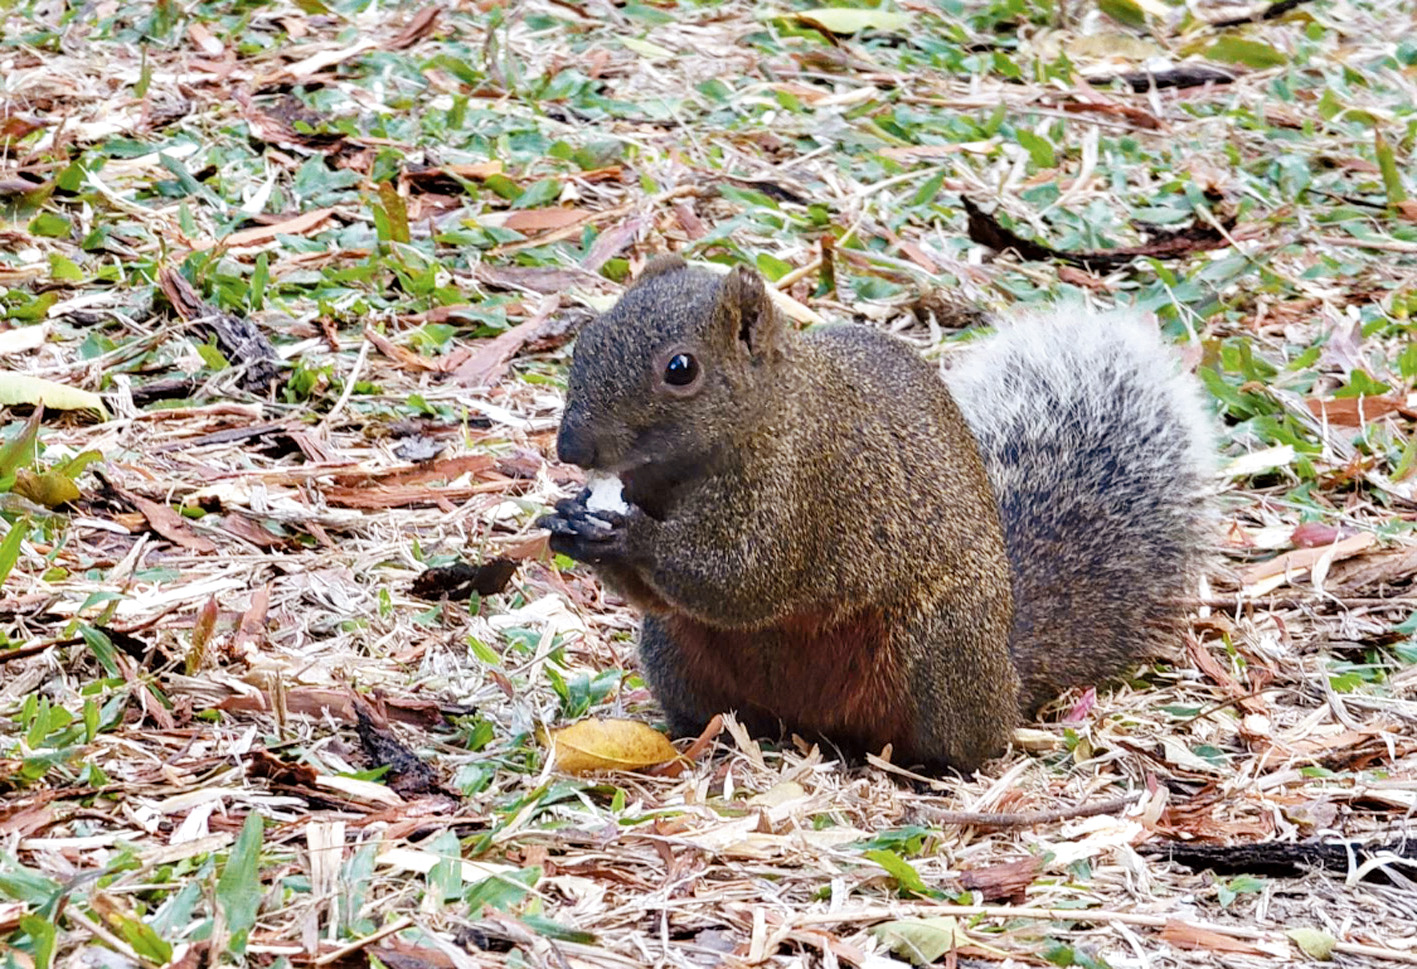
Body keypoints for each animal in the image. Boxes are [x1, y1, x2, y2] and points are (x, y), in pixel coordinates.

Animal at [535, 257, 1212, 770]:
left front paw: (627, 536)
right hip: (674, 653)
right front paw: (568, 523)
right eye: (587, 340)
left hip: (941, 649)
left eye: (680, 368)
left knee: (971, 743)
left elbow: (743, 578)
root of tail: (1007, 675)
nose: (571, 449)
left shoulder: (806, 488)